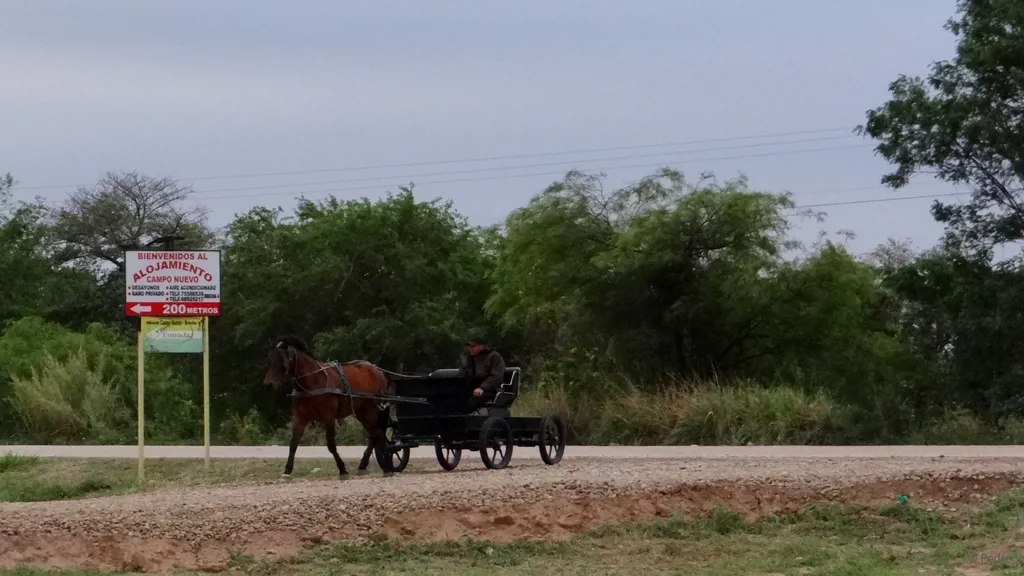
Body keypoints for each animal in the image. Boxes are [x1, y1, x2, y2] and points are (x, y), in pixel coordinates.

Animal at [260, 334, 395, 477]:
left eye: (282, 361)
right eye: (269, 360)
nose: (267, 384)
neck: (313, 382)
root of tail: (378, 371)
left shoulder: (328, 417)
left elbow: (331, 445)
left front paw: (342, 468)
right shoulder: (300, 417)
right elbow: (293, 443)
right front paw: (287, 469)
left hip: (372, 410)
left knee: (377, 434)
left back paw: (385, 466)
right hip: (362, 412)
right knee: (375, 434)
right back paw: (365, 465)